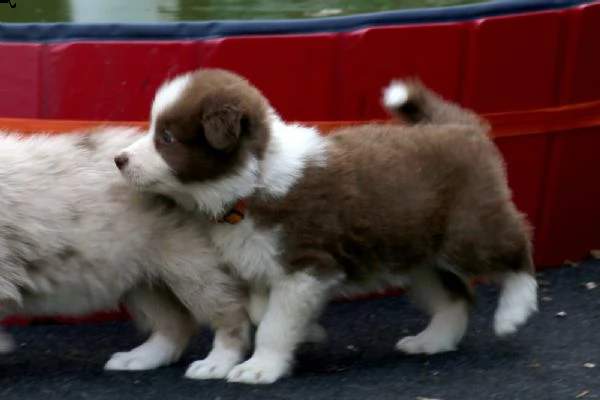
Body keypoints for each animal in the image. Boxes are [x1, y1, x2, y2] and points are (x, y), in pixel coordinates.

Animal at [0, 127, 251, 378]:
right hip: (141, 274)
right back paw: (139, 359)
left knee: (231, 313)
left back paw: (216, 364)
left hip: (193, 265)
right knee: (174, 324)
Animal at [117, 69, 540, 384]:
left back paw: (514, 311)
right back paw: (432, 341)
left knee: (517, 249)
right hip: (417, 254)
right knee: (457, 297)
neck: (252, 184)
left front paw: (260, 367)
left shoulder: (305, 267)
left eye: (166, 137)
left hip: (468, 231)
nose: (120, 160)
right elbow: (259, 311)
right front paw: (305, 334)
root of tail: (461, 128)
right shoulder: (258, 266)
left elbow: (273, 324)